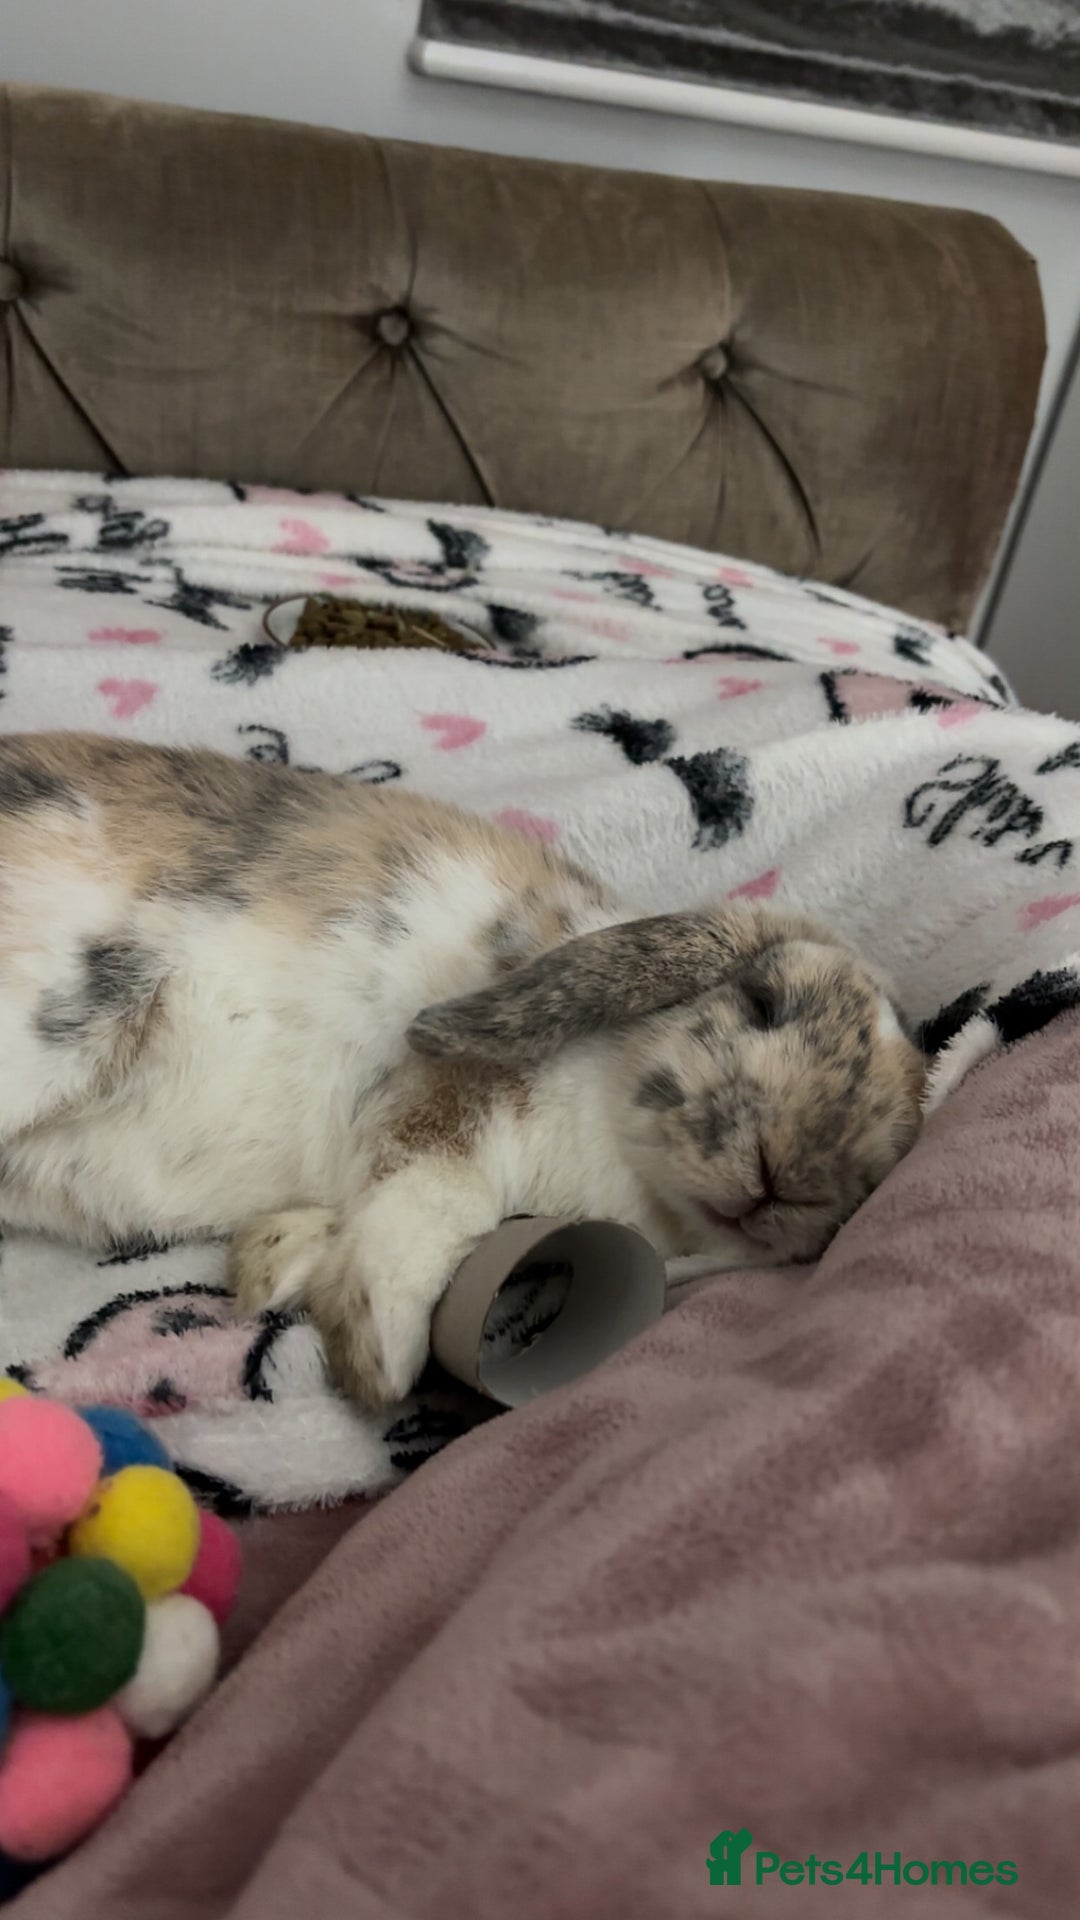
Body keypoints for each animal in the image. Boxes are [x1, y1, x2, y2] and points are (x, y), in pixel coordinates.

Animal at [0, 732, 925, 1410]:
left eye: (877, 1169)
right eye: (763, 1002)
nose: (780, 1180)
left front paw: (276, 1268)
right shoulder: (446, 1099)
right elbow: (437, 1193)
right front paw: (379, 1356)